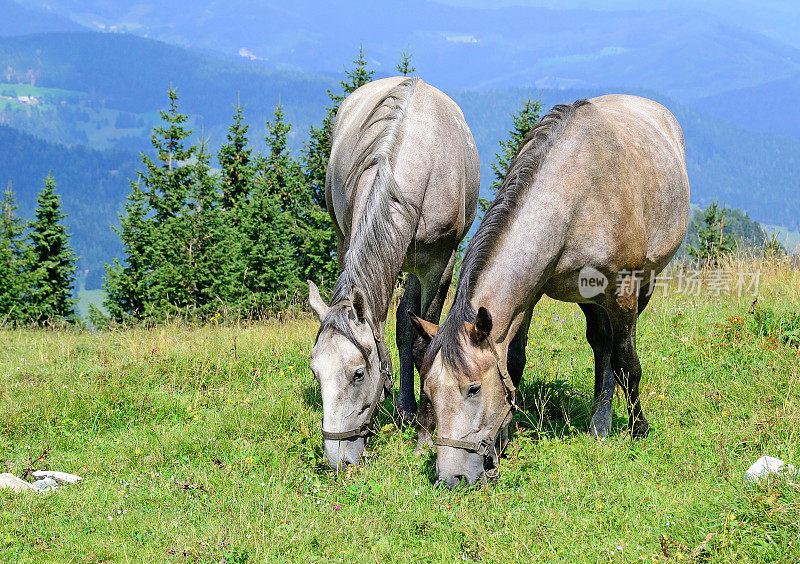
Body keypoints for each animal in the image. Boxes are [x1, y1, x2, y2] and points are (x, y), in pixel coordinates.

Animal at [310, 77, 478, 470]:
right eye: (315, 372)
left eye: (358, 374)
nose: (339, 461)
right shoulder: (347, 242)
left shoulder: (439, 265)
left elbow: (423, 342)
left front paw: (425, 434)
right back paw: (404, 409)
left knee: (407, 325)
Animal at [410, 94, 692, 486]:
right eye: (430, 391)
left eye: (473, 389)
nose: (451, 478)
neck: (575, 197)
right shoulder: (530, 294)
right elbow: (514, 361)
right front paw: (503, 440)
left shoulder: (622, 291)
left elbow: (628, 364)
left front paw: (639, 430)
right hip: (590, 298)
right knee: (601, 343)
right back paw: (600, 422)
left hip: (642, 286)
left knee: (615, 352)